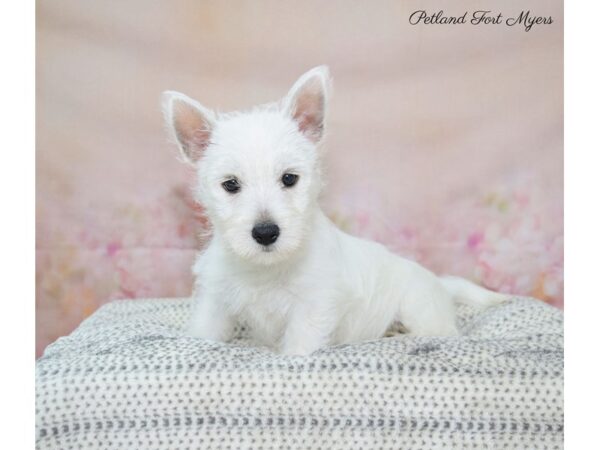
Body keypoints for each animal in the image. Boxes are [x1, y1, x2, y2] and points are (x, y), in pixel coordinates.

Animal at [161, 67, 506, 356]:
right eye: (231, 185)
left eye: (289, 178)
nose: (266, 233)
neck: (265, 268)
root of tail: (440, 284)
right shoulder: (215, 301)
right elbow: (204, 332)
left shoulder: (312, 308)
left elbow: (298, 348)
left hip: (420, 308)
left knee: (439, 332)